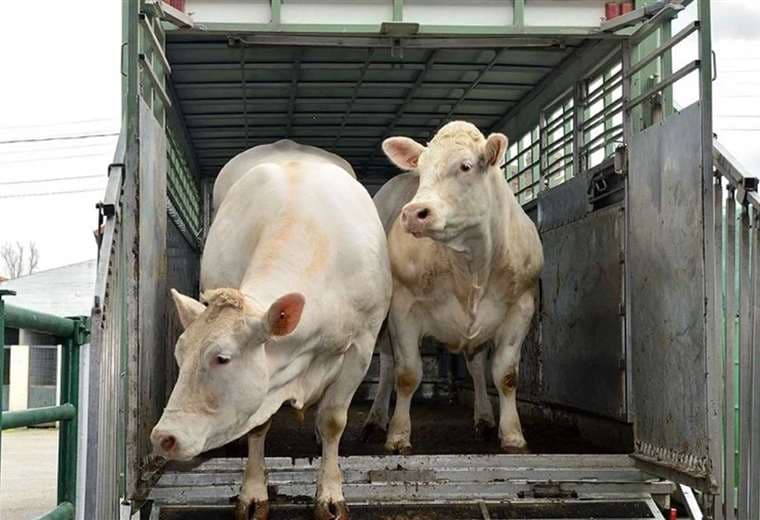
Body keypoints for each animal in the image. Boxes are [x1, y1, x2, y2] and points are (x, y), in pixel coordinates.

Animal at [152, 139, 394, 520]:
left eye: (222, 358)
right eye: (179, 357)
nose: (163, 437)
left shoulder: (362, 343)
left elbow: (333, 420)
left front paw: (330, 495)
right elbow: (257, 426)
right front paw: (253, 493)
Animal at [362, 120, 540, 452]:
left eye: (465, 166)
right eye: (421, 170)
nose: (413, 213)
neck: (471, 264)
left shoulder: (522, 306)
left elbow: (506, 375)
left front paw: (512, 435)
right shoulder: (403, 308)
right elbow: (406, 374)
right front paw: (398, 435)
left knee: (476, 365)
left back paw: (484, 418)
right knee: (388, 364)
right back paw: (376, 420)